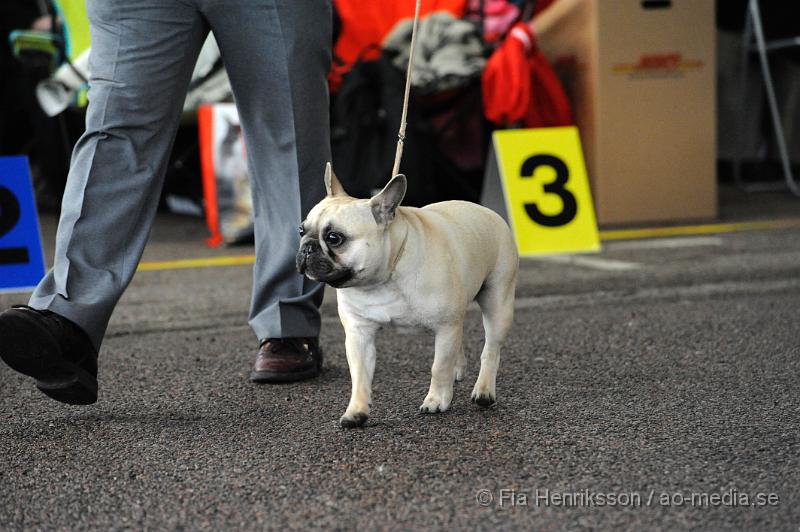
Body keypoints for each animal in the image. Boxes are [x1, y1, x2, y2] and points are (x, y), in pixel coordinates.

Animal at [296, 163, 520, 428]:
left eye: (334, 238)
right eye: (301, 230)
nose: (307, 247)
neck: (382, 279)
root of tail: (487, 211)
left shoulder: (445, 327)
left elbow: (438, 367)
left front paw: (436, 400)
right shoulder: (359, 334)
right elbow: (360, 375)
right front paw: (356, 411)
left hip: (497, 303)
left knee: (491, 349)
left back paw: (484, 391)